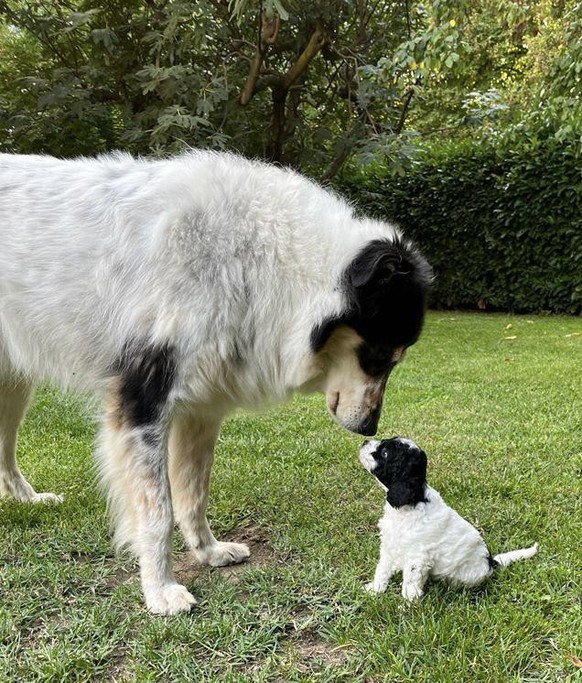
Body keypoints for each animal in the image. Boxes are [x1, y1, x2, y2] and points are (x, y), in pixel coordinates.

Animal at [0, 152, 434, 616]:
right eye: (378, 355)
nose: (371, 428)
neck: (256, 257)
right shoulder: (142, 402)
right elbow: (158, 511)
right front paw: (159, 590)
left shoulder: (201, 409)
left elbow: (193, 494)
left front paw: (209, 553)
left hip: (14, 385)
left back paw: (27, 499)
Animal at [360, 438, 540, 600]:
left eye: (384, 453)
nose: (364, 441)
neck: (413, 502)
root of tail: (490, 562)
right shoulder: (389, 547)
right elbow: (382, 570)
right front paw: (375, 590)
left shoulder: (416, 558)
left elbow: (410, 586)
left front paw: (407, 608)